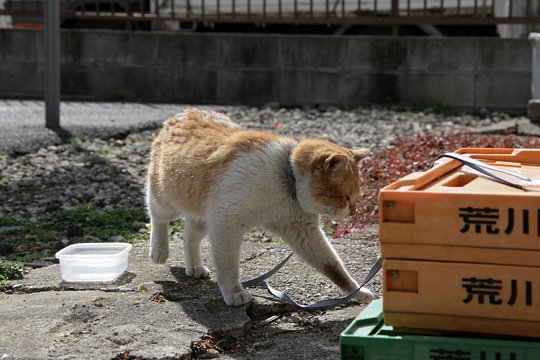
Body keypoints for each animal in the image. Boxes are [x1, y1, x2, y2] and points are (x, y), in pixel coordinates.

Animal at [146, 107, 374, 306]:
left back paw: (194, 266)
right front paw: (234, 292)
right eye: (345, 197)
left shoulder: (303, 231)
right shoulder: (226, 224)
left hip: (203, 216)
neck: (285, 180)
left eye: (355, 197)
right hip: (166, 198)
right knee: (157, 217)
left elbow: (333, 267)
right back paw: (159, 250)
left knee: (190, 235)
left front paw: (357, 292)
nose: (353, 211)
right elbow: (229, 265)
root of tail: (184, 112)